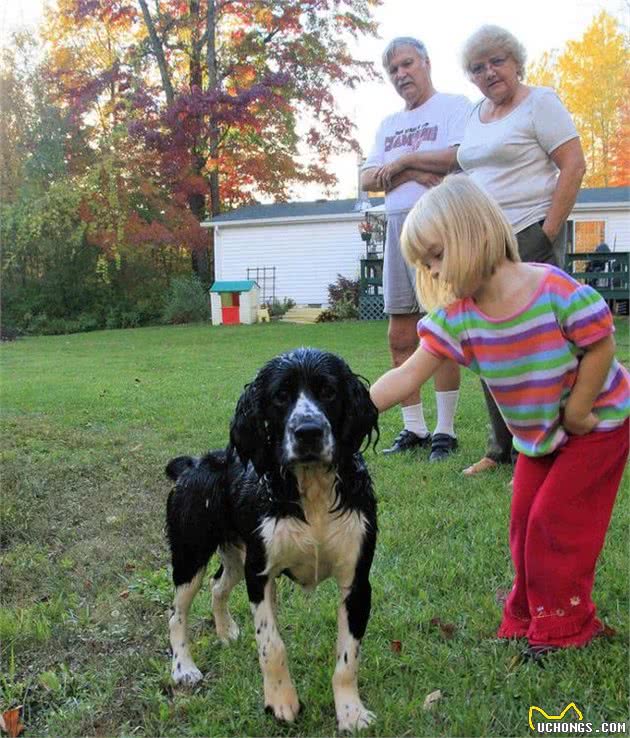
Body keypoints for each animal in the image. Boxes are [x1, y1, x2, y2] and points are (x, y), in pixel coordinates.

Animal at [165, 348, 378, 728]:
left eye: (329, 392)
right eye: (280, 396)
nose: (308, 432)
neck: (311, 493)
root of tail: (192, 464)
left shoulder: (356, 582)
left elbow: (347, 658)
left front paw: (350, 712)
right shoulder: (260, 574)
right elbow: (271, 645)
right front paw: (281, 701)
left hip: (237, 556)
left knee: (218, 586)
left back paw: (225, 631)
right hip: (190, 555)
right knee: (177, 614)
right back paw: (183, 668)